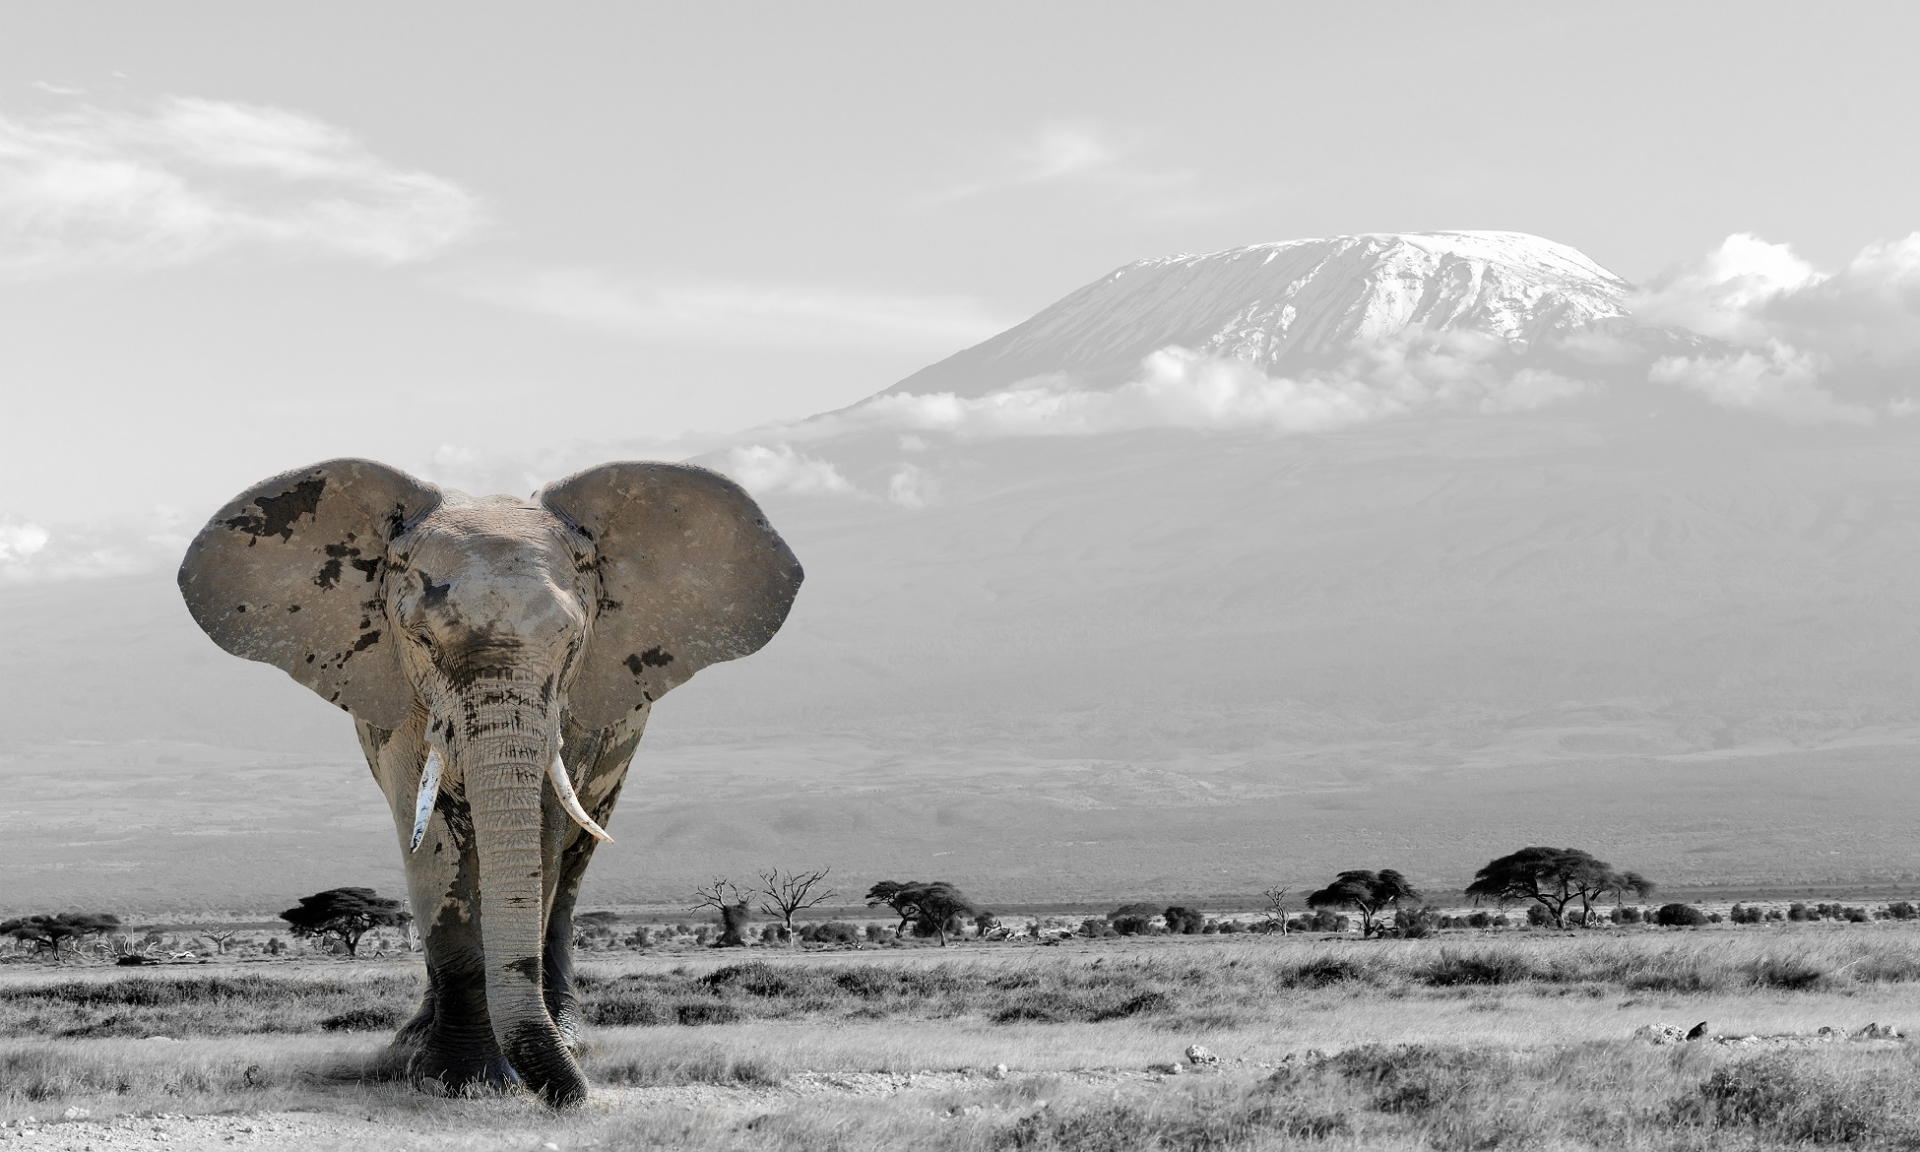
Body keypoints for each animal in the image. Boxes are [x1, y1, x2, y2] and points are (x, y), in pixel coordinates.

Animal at [177, 458, 801, 1106]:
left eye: (572, 642)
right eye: (421, 639)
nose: (578, 1100)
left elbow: (545, 838)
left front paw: (492, 1076)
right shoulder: (403, 705)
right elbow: (429, 844)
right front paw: (459, 1079)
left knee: (571, 872)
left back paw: (571, 1043)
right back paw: (412, 1048)